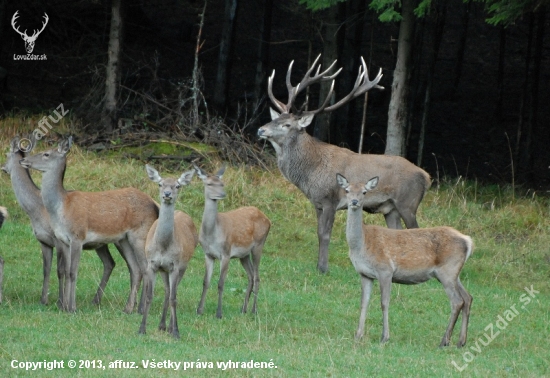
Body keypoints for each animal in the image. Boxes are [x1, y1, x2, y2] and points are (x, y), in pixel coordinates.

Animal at [21, 137, 160, 312]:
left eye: (46, 154)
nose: (23, 160)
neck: (62, 208)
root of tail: (155, 205)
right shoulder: (63, 240)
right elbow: (66, 271)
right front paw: (64, 306)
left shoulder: (78, 236)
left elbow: (73, 272)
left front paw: (72, 307)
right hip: (124, 240)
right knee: (136, 269)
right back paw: (128, 308)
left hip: (140, 234)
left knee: (146, 268)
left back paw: (141, 309)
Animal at [139, 164, 199, 338]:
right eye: (160, 184)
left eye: (177, 186)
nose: (167, 194)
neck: (163, 246)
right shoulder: (152, 264)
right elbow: (149, 296)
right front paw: (142, 328)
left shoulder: (175, 266)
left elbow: (174, 298)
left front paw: (176, 331)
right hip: (163, 270)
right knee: (166, 291)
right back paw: (162, 325)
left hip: (183, 266)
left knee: (173, 292)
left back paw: (170, 327)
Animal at [194, 164, 272, 318]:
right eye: (209, 184)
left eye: (222, 183)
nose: (222, 194)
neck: (212, 233)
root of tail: (268, 220)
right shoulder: (208, 254)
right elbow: (205, 282)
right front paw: (199, 310)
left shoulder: (226, 253)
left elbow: (220, 283)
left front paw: (219, 313)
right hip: (244, 255)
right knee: (250, 276)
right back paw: (243, 308)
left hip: (259, 245)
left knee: (257, 277)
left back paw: (254, 310)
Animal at [256, 54, 434, 272]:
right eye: (275, 118)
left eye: (287, 124)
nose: (261, 130)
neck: (310, 172)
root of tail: (427, 177)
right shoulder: (317, 202)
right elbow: (318, 232)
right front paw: (319, 265)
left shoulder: (330, 199)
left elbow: (325, 234)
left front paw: (323, 268)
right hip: (391, 208)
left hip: (408, 203)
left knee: (417, 230)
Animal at [338, 174, 476, 348]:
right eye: (347, 190)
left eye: (364, 192)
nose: (355, 202)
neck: (361, 245)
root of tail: (468, 241)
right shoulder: (364, 274)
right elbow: (364, 303)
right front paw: (358, 335)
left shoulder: (385, 270)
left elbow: (384, 303)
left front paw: (384, 337)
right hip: (452, 273)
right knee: (468, 297)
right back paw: (461, 341)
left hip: (447, 270)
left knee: (457, 301)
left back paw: (444, 341)